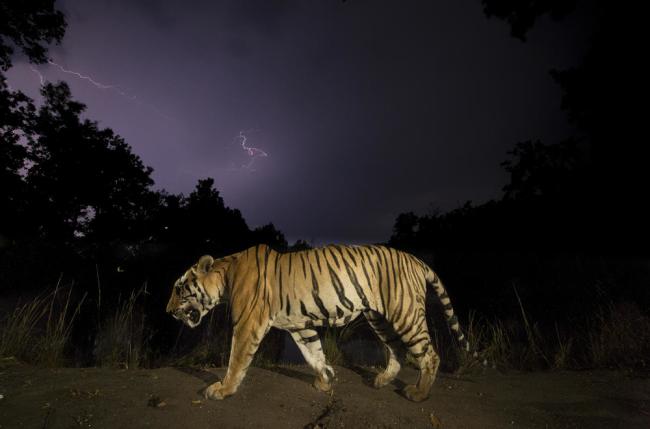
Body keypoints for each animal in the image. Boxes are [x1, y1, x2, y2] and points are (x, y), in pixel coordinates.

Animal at [163, 244, 466, 402]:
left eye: (178, 288)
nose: (167, 311)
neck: (225, 276)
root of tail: (417, 259)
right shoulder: (300, 325)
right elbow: (313, 353)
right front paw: (325, 380)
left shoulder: (248, 323)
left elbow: (236, 359)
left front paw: (222, 389)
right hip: (378, 318)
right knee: (397, 349)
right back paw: (381, 380)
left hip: (405, 313)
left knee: (429, 354)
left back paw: (419, 392)